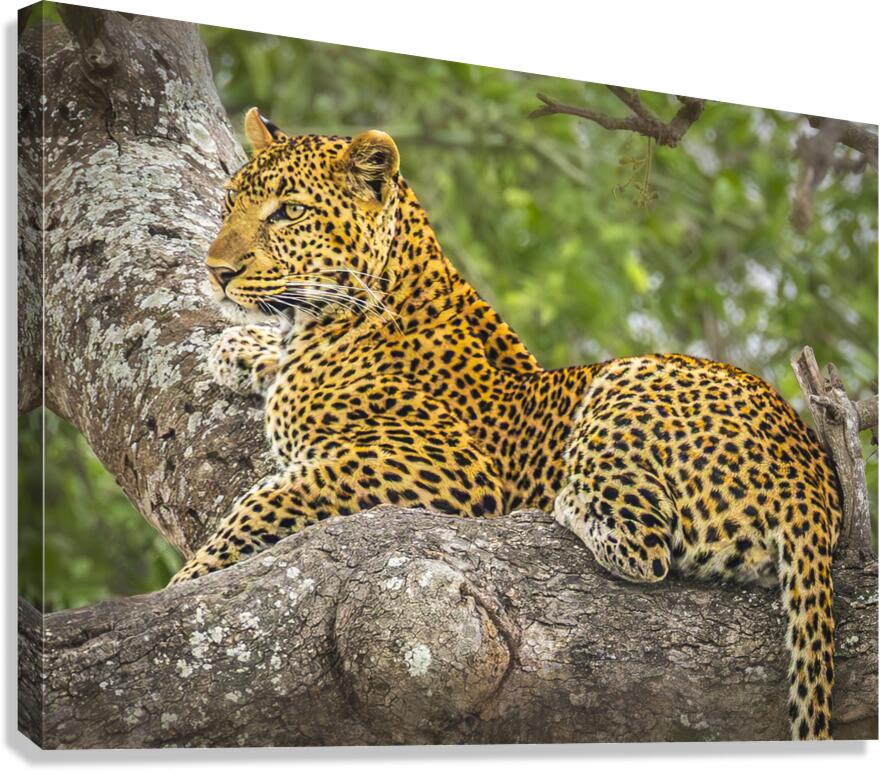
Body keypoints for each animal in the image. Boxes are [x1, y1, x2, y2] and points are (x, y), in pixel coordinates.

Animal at [170, 107, 842, 741]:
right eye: (230, 203)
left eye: (288, 213)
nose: (215, 270)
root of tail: (814, 493)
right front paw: (238, 348)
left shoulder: (447, 469)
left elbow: (264, 502)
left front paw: (182, 584)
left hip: (626, 378)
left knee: (643, 546)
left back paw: (565, 500)